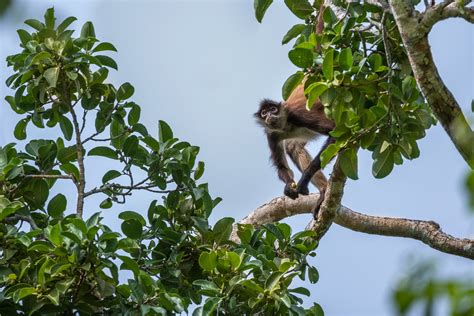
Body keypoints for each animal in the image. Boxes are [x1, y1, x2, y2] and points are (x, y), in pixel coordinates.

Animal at [256, 84, 334, 217]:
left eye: (273, 109)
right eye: (264, 113)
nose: (269, 115)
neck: (286, 126)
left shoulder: (297, 115)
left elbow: (336, 133)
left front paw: (304, 179)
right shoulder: (271, 134)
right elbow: (281, 166)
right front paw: (289, 186)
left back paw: (323, 192)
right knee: (292, 147)